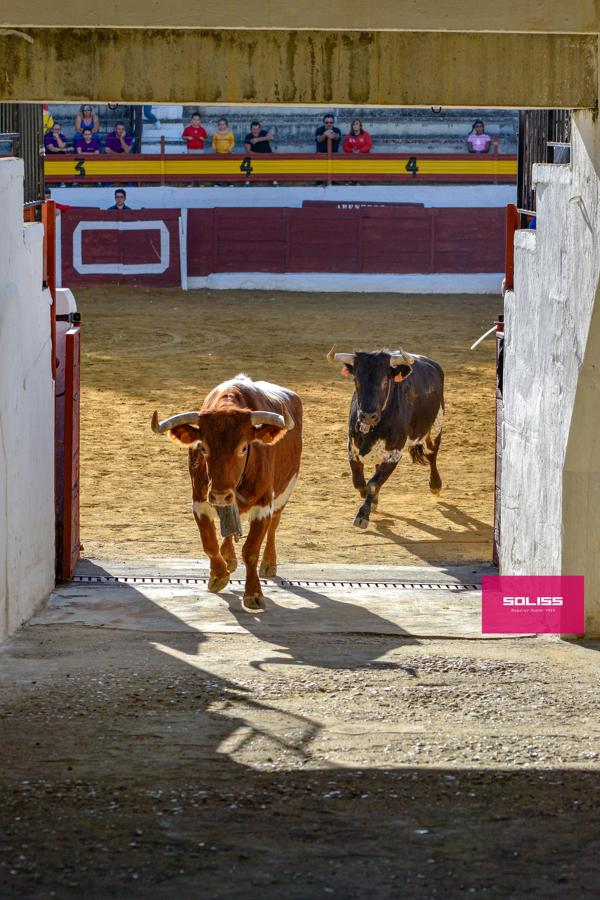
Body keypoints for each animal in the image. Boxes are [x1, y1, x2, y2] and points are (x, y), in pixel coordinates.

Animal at [150, 372, 300, 612]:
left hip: (285, 491)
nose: (220, 494)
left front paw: (253, 593)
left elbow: (251, 550)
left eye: (244, 447)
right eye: (203, 447)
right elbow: (209, 543)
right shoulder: (200, 501)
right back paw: (228, 557)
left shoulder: (263, 504)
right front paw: (218, 576)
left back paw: (269, 563)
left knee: (274, 525)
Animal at [336, 346, 442, 528]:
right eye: (356, 380)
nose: (368, 416)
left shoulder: (395, 452)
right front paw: (370, 500)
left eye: (385, 381)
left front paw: (363, 515)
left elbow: (373, 484)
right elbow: (359, 482)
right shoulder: (352, 447)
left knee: (432, 453)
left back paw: (435, 485)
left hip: (435, 426)